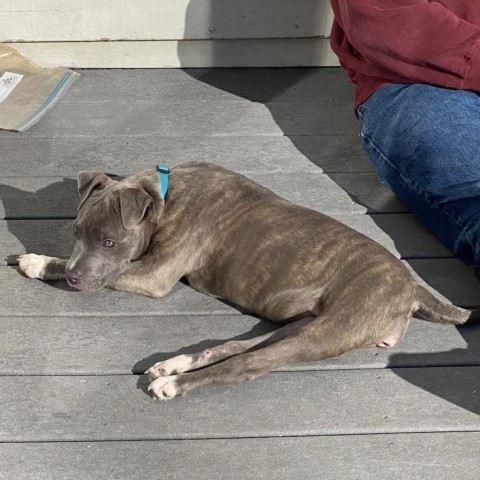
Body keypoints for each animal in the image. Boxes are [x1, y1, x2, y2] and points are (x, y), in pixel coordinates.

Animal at [18, 163, 480, 400]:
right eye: (75, 231)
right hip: (302, 323)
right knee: (237, 346)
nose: (75, 277)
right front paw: (44, 261)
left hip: (326, 331)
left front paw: (43, 263)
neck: (163, 194)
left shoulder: (154, 276)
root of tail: (412, 286)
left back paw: (173, 383)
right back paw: (174, 363)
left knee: (247, 365)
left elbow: (111, 275)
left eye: (110, 242)